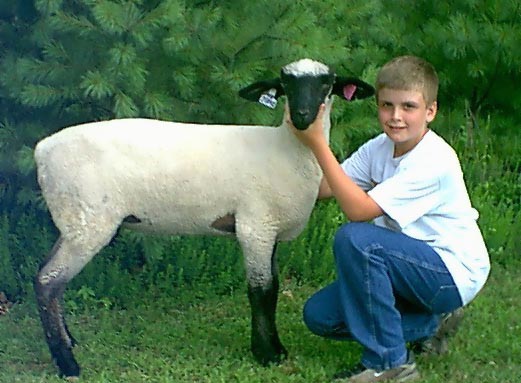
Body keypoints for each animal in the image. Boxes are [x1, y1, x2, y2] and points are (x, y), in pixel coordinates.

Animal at [33, 58, 374, 380]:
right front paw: (266, 354)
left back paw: (69, 342)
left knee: (49, 278)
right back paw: (68, 364)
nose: (303, 116)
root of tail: (42, 150)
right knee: (48, 282)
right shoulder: (254, 225)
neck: (288, 151)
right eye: (286, 83)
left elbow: (274, 286)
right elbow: (261, 290)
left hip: (74, 220)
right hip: (89, 220)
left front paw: (275, 348)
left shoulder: (270, 228)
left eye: (326, 83)